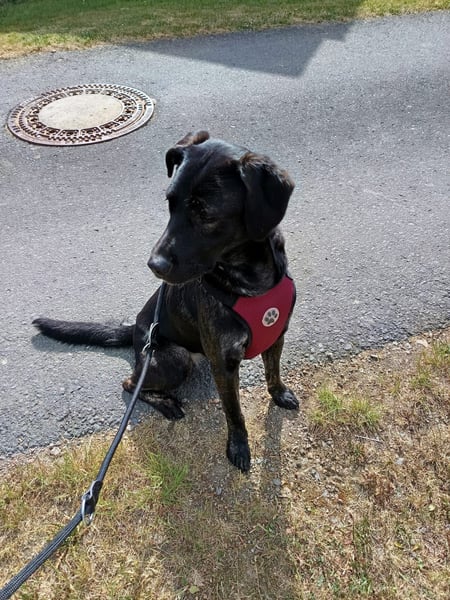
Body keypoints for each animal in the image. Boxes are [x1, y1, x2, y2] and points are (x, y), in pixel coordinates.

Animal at [33, 131, 299, 472]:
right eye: (170, 204)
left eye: (205, 214)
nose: (153, 265)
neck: (251, 281)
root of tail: (135, 329)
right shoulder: (225, 365)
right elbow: (234, 413)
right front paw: (238, 446)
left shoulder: (276, 337)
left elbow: (273, 372)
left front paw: (279, 394)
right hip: (176, 359)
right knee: (130, 383)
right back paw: (165, 402)